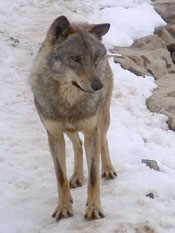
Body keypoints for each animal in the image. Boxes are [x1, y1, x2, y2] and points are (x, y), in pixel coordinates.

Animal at [30, 15, 117, 221]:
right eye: (75, 59)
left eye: (95, 57)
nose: (99, 86)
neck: (69, 102)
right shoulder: (54, 135)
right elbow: (60, 176)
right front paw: (63, 207)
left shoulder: (91, 130)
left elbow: (93, 176)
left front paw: (94, 209)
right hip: (69, 130)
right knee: (78, 144)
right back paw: (77, 176)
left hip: (102, 120)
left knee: (103, 141)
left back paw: (108, 169)